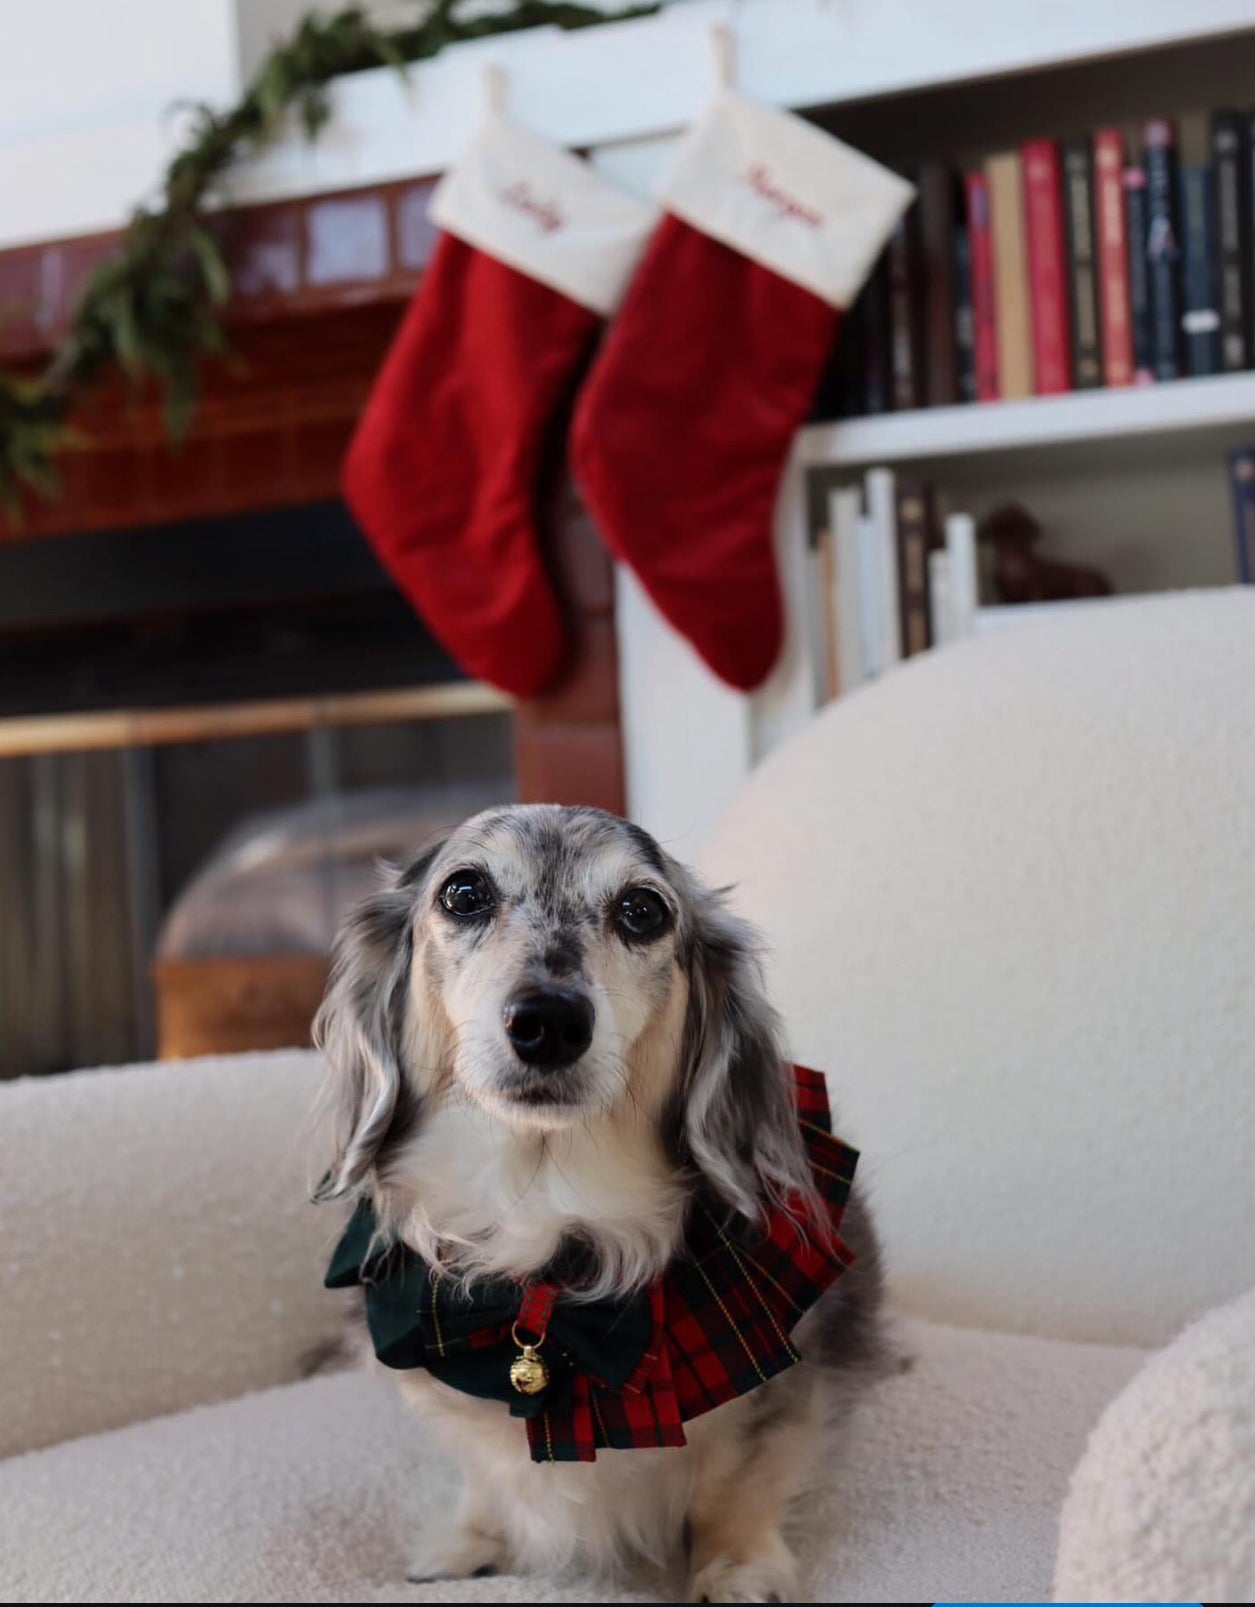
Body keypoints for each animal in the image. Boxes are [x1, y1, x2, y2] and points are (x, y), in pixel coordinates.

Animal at [311, 803, 880, 1594]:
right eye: (463, 893)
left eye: (643, 910)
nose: (548, 1020)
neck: (542, 1204)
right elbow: (485, 1475)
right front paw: (471, 1542)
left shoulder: (785, 1386)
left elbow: (739, 1478)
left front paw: (737, 1565)